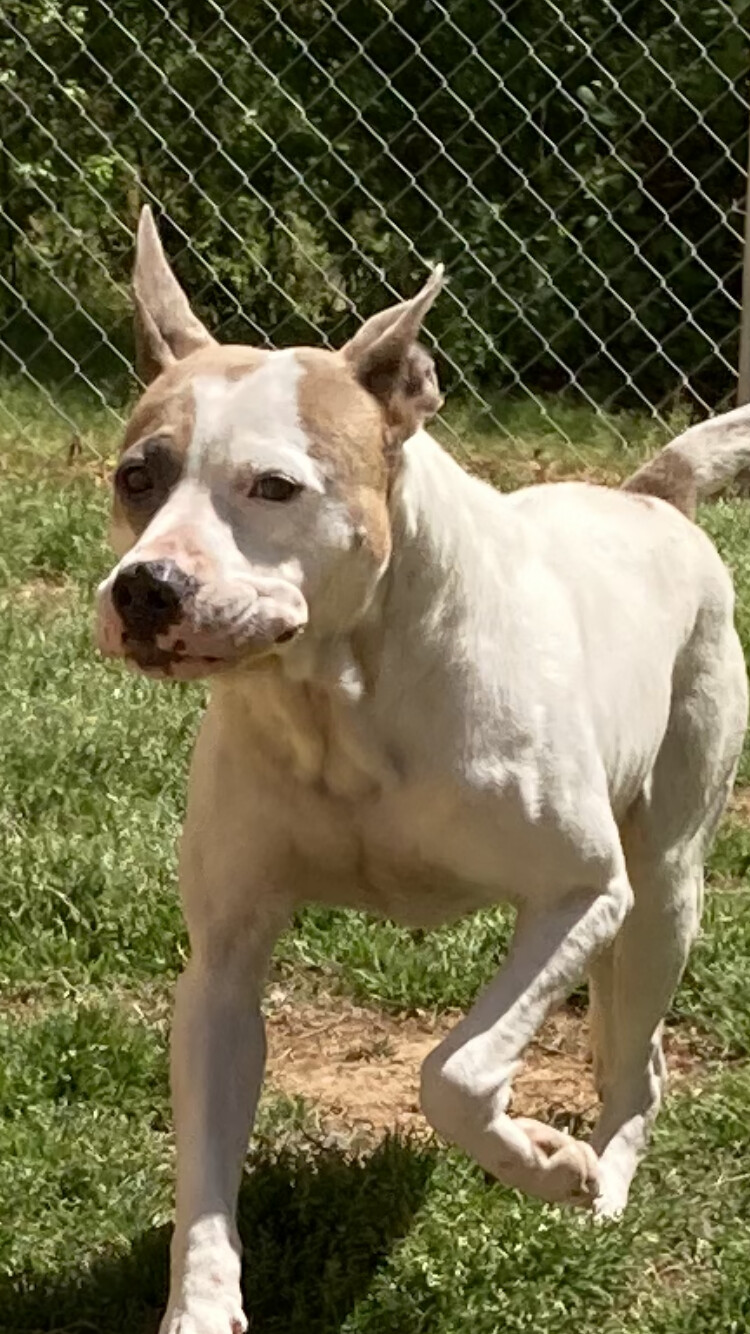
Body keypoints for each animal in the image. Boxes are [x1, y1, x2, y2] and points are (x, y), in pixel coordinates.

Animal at [96, 208, 741, 1334]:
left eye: (275, 486)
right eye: (139, 475)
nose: (146, 588)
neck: (339, 702)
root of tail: (649, 500)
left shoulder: (581, 894)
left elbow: (453, 1070)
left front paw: (542, 1161)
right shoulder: (222, 963)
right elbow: (207, 1169)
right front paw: (204, 1304)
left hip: (662, 892)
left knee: (640, 1058)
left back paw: (605, 1180)